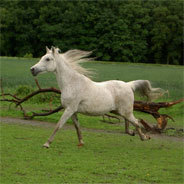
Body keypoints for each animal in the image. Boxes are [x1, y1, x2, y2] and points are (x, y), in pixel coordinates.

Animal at [30, 46, 165, 148]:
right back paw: (132, 133)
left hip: (125, 111)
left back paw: (144, 137)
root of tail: (128, 85)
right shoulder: (73, 111)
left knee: (137, 122)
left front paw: (46, 144)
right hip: (120, 111)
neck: (72, 83)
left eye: (48, 59)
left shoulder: (69, 109)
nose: (32, 69)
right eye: (42, 57)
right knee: (129, 124)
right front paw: (81, 142)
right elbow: (77, 127)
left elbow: (58, 125)